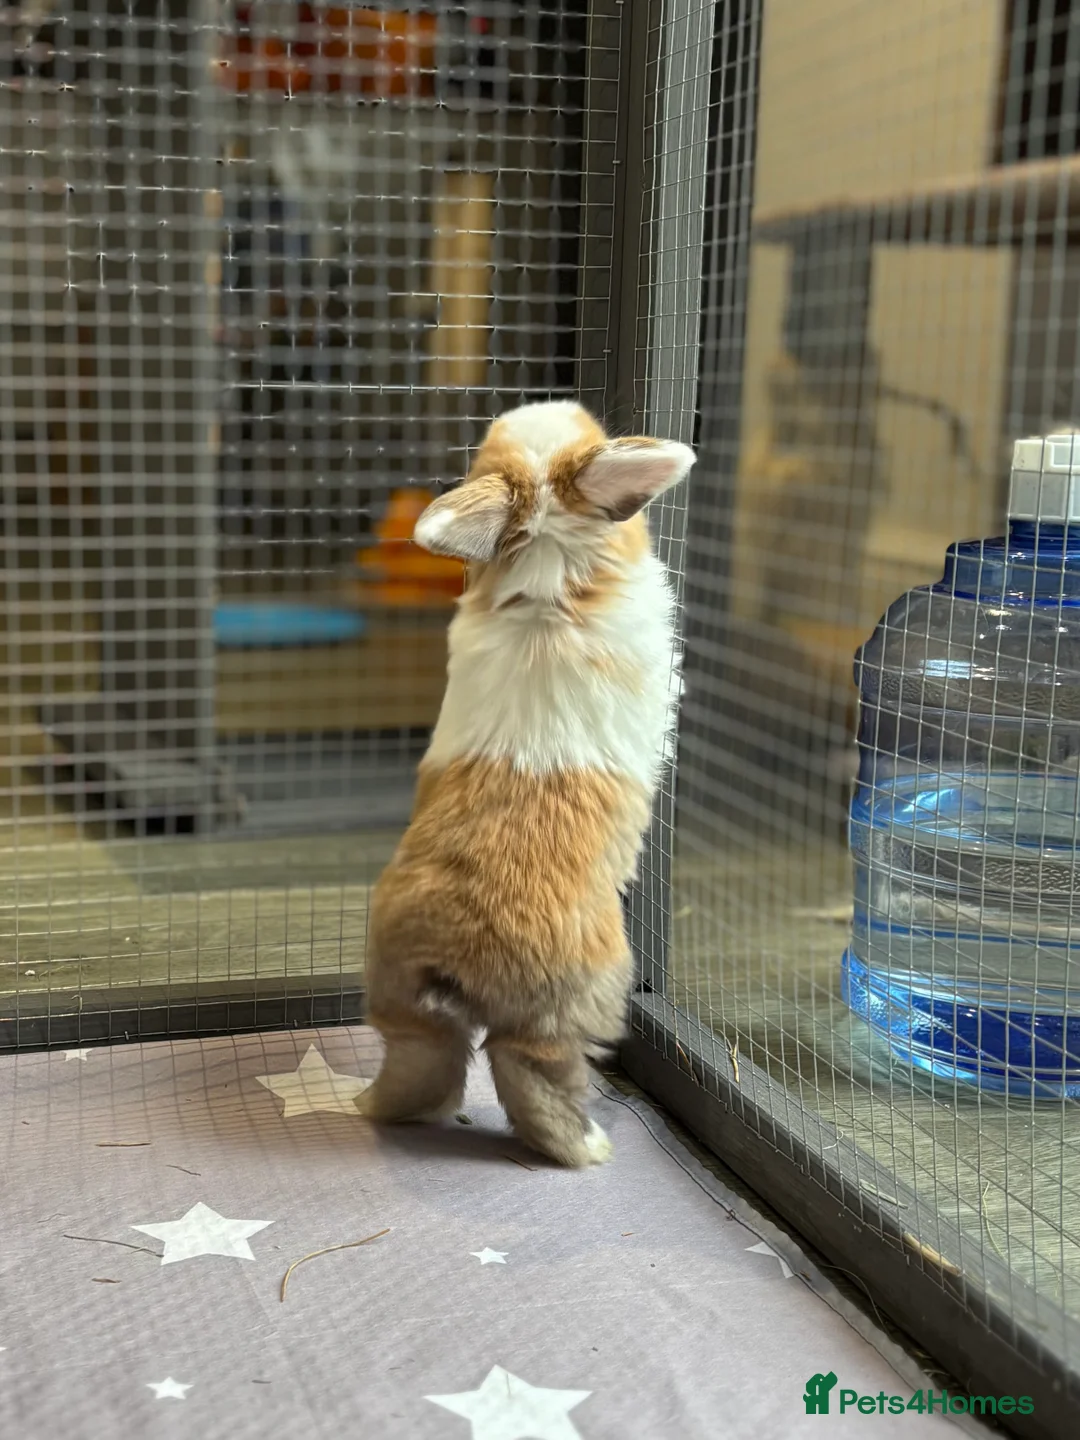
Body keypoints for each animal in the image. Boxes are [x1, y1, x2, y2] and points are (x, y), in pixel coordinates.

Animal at [358, 400, 695, 1166]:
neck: (548, 555)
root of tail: (455, 941)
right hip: (575, 1004)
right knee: (530, 1069)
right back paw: (587, 1149)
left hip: (401, 996)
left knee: (424, 1055)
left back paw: (376, 1108)